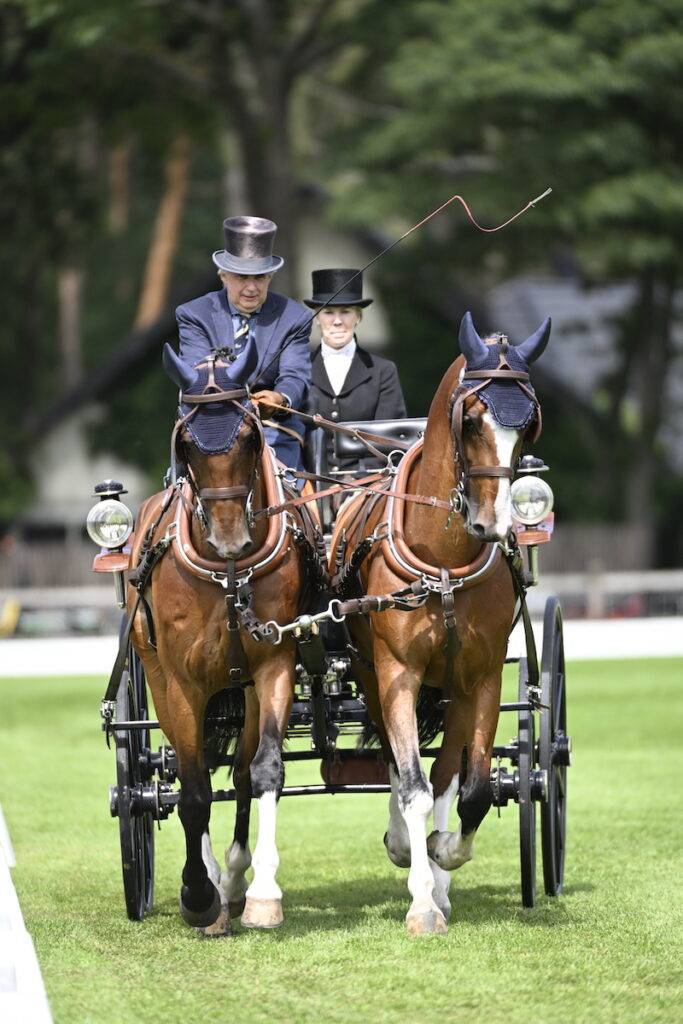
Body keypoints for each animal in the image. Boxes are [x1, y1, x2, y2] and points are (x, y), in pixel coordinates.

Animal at [128, 339, 317, 936]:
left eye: (250, 435)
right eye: (187, 442)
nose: (230, 537)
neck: (228, 573)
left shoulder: (273, 664)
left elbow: (264, 771)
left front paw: (259, 894)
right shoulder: (179, 683)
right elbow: (191, 791)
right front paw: (197, 895)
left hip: (245, 689)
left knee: (238, 772)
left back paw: (232, 879)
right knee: (197, 775)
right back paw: (211, 881)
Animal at [330, 311, 551, 935]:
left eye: (529, 424)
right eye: (470, 417)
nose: (493, 524)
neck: (445, 560)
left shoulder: (481, 677)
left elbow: (470, 788)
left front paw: (443, 856)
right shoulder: (397, 673)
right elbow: (410, 783)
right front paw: (421, 897)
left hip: (452, 689)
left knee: (449, 772)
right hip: (372, 673)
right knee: (395, 758)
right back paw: (407, 850)